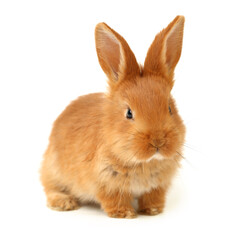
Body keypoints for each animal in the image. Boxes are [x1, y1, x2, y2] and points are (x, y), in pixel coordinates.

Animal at [40, 15, 186, 218]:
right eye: (129, 113)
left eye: (170, 108)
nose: (158, 141)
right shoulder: (105, 182)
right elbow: (114, 198)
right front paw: (125, 214)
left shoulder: (157, 186)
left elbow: (152, 196)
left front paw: (153, 210)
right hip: (53, 170)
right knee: (50, 187)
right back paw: (64, 203)